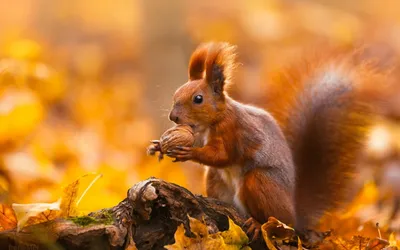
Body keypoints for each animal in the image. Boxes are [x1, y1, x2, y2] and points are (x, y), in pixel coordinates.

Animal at [164, 42, 382, 239]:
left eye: (198, 99)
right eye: (175, 93)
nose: (173, 117)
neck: (212, 122)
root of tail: (295, 215)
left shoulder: (235, 131)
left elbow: (223, 156)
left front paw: (189, 152)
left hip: (260, 182)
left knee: (277, 220)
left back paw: (258, 224)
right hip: (215, 181)